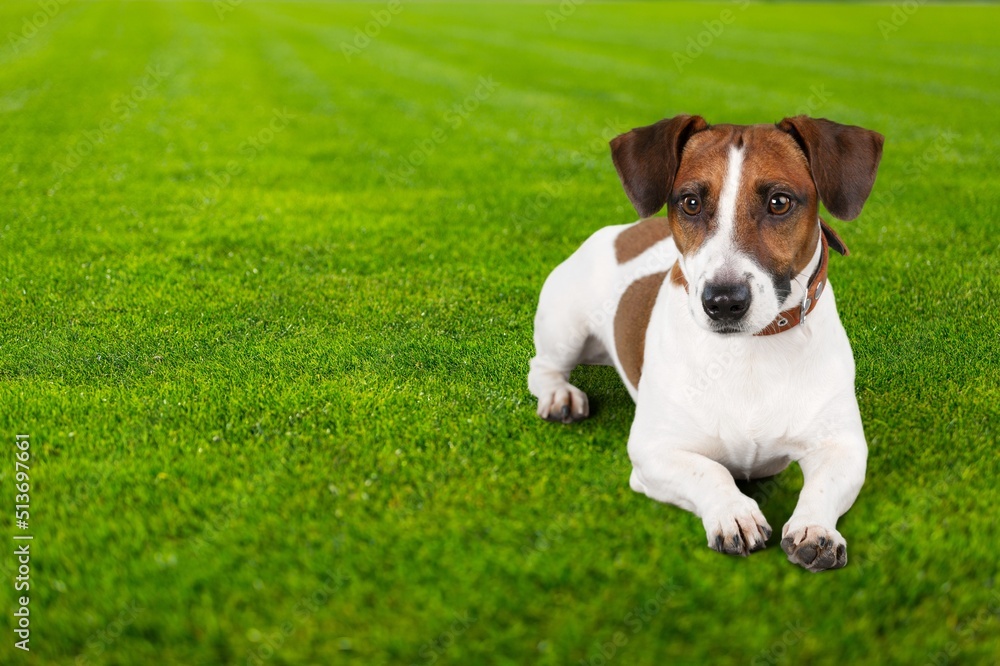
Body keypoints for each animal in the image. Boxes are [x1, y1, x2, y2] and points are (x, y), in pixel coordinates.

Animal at [524, 114, 884, 572]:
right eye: (691, 203)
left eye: (780, 202)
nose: (723, 301)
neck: (750, 349)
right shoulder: (653, 451)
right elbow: (710, 472)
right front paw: (734, 512)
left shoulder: (843, 446)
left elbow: (824, 484)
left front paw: (815, 528)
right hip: (564, 323)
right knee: (543, 367)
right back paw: (560, 396)